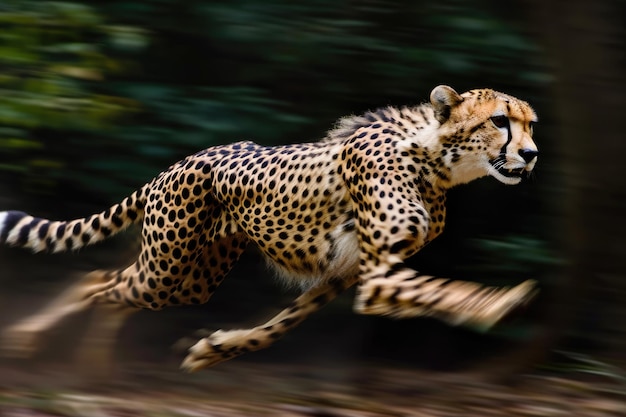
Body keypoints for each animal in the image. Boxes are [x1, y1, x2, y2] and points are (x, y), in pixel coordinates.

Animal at [1, 85, 536, 370]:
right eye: (499, 121)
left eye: (530, 124)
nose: (531, 154)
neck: (434, 159)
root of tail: (181, 162)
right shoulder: (378, 274)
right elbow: (443, 290)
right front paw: (497, 305)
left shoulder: (347, 272)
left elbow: (280, 326)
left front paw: (214, 350)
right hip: (165, 270)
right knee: (98, 282)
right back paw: (39, 341)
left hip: (193, 280)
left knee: (108, 285)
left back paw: (86, 359)